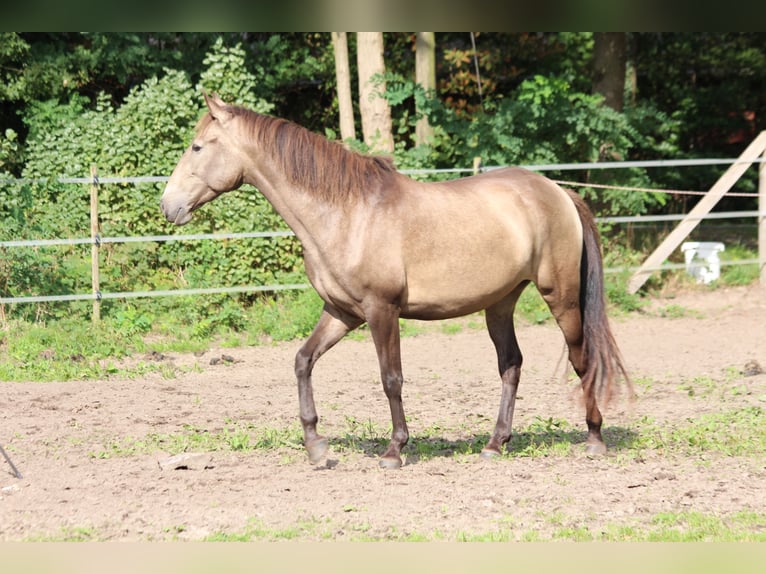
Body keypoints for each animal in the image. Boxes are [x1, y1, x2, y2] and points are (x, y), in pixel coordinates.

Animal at [160, 94, 632, 470]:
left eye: (197, 146)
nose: (168, 206)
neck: (347, 213)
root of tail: (557, 191)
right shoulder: (341, 313)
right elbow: (302, 361)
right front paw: (316, 447)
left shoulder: (380, 310)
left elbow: (391, 378)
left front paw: (394, 450)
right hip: (500, 302)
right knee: (511, 364)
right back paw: (495, 444)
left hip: (561, 297)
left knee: (582, 360)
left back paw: (594, 438)